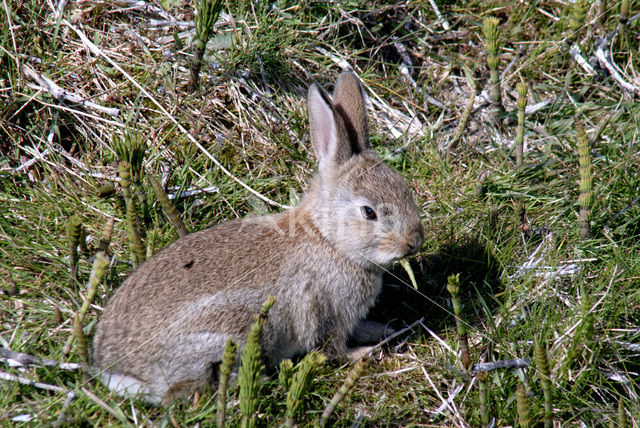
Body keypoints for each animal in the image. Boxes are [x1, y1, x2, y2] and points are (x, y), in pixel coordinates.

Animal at [92, 71, 424, 404]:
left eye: (406, 189)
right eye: (369, 212)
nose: (414, 242)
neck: (328, 239)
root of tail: (118, 372)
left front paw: (383, 330)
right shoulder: (325, 312)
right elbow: (332, 349)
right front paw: (365, 353)